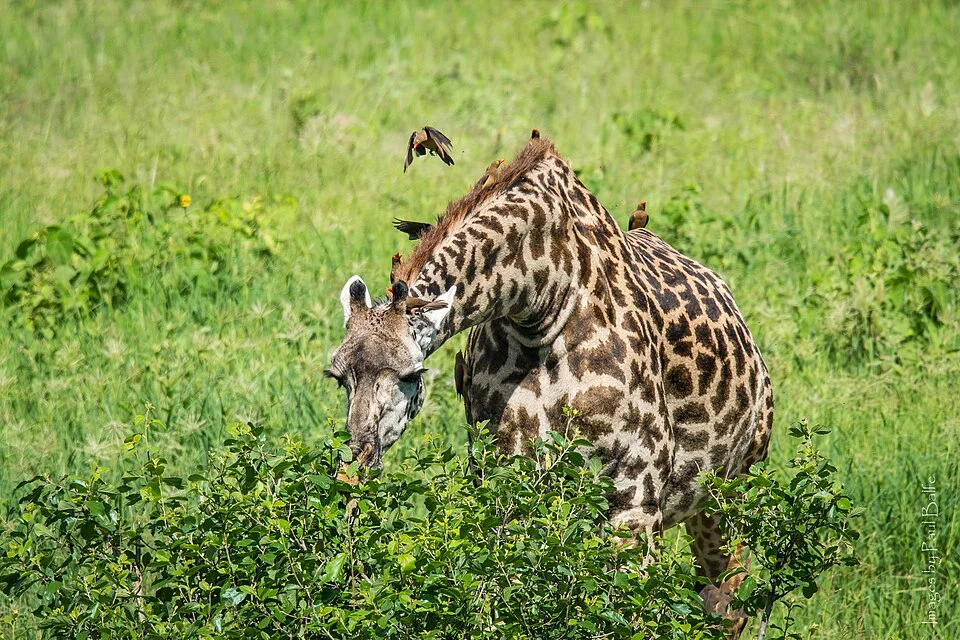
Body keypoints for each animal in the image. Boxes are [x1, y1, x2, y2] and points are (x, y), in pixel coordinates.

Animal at [327, 134, 774, 633]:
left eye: (412, 374)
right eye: (338, 376)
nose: (359, 459)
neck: (542, 301)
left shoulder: (634, 498)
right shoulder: (505, 482)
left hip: (735, 488)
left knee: (731, 602)